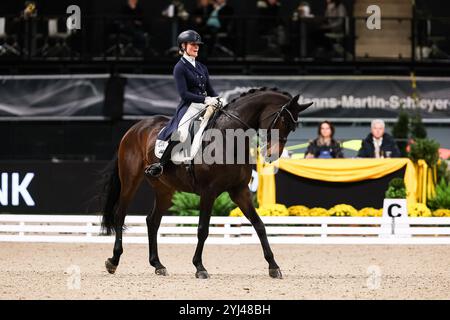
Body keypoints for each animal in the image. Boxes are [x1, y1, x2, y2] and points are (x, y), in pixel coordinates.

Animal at [100, 87, 312, 278]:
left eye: (293, 127)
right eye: (283, 121)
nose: (272, 155)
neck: (228, 139)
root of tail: (135, 127)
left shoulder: (239, 191)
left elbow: (259, 225)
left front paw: (273, 267)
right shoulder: (208, 192)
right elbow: (203, 229)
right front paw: (199, 267)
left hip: (164, 189)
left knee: (153, 221)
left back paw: (158, 265)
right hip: (130, 180)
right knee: (120, 215)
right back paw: (113, 261)